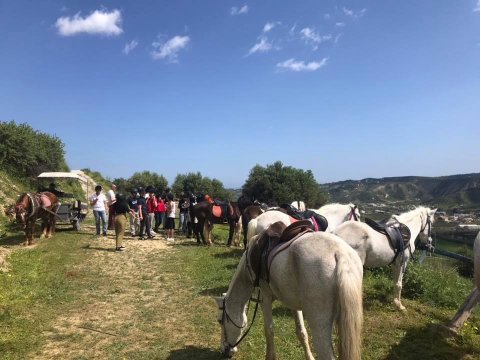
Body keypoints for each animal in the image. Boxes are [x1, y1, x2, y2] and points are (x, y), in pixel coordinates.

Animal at [215, 229, 364, 358]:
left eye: (220, 320)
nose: (224, 350)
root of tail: (339, 253)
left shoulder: (265, 298)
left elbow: (269, 331)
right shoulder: (293, 304)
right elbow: (301, 332)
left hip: (319, 326)